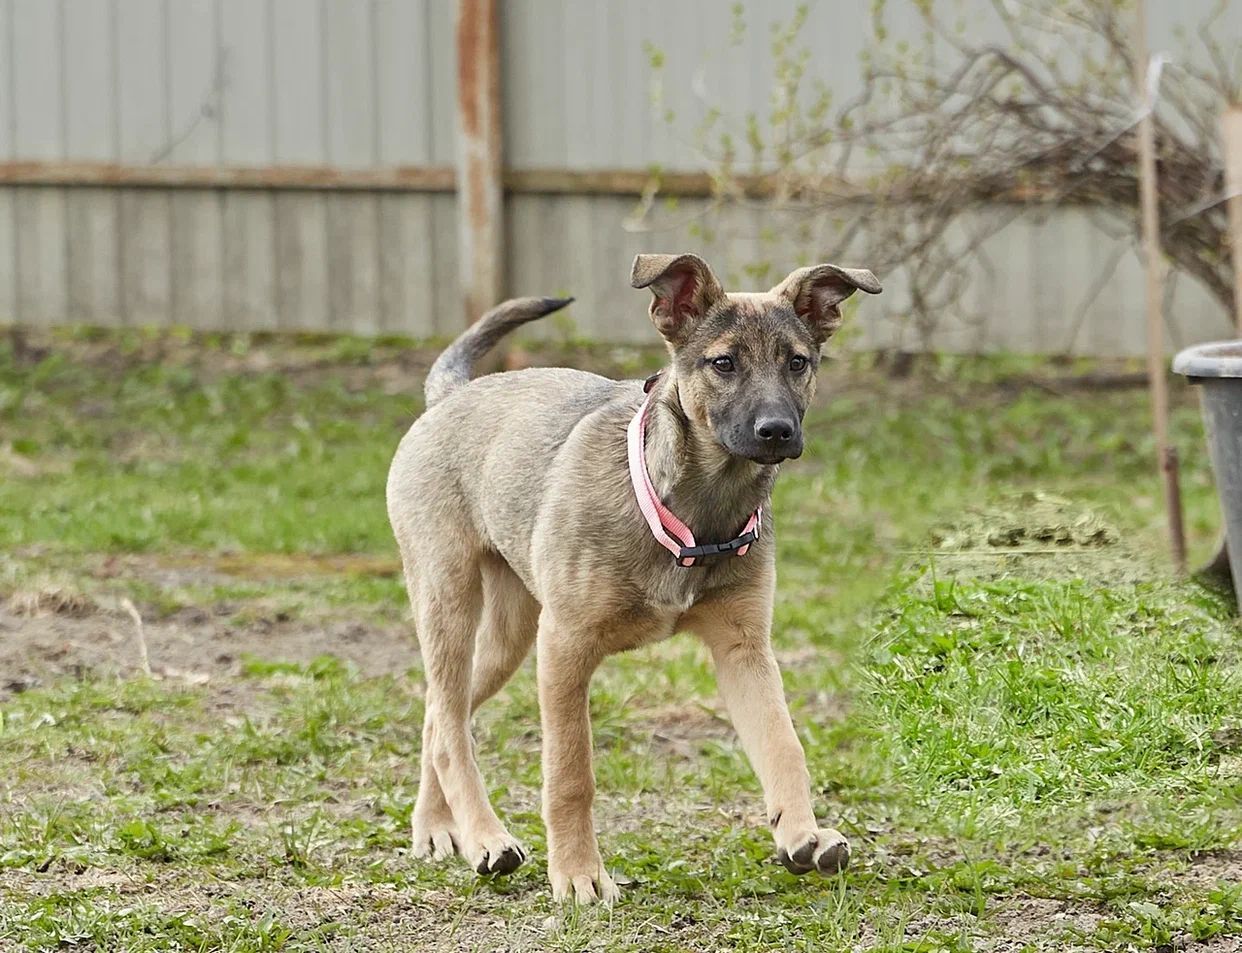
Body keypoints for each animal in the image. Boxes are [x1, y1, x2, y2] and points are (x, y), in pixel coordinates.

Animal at [387, 250, 884, 904]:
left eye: (797, 362)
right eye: (723, 363)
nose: (777, 430)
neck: (696, 511)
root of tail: (449, 396)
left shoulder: (744, 648)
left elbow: (784, 745)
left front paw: (802, 833)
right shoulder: (565, 647)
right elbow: (571, 775)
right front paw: (578, 875)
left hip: (508, 635)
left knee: (438, 719)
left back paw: (437, 827)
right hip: (449, 597)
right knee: (449, 723)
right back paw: (485, 838)